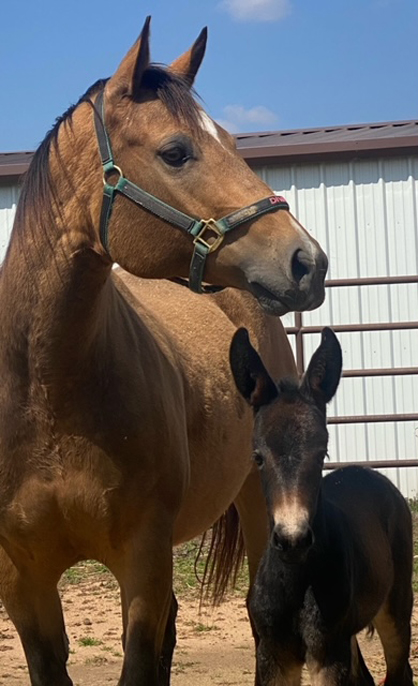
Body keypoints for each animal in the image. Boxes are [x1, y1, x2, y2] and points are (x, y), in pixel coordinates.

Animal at [0, 16, 326, 686]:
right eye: (176, 151)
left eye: (231, 139)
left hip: (262, 509)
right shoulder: (22, 580)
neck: (47, 390)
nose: (307, 261)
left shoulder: (142, 561)